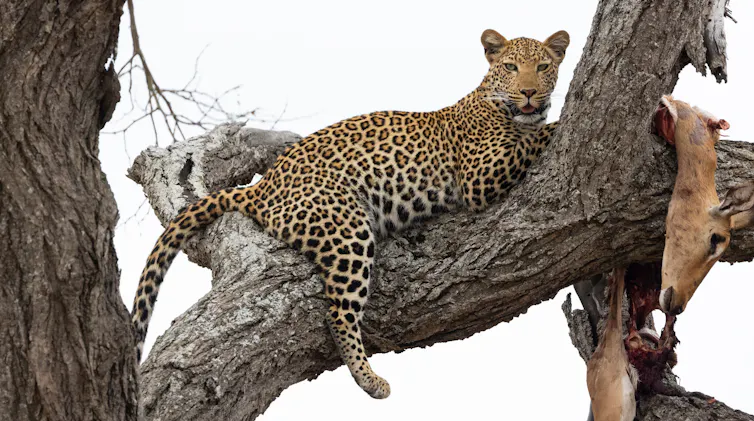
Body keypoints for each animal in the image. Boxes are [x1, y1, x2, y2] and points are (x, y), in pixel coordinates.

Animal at [131, 29, 570, 399]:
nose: (529, 93)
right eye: (510, 67)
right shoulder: (480, 176)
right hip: (348, 229)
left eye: (543, 67)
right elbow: (535, 138)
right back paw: (370, 379)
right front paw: (555, 121)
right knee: (337, 313)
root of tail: (262, 186)